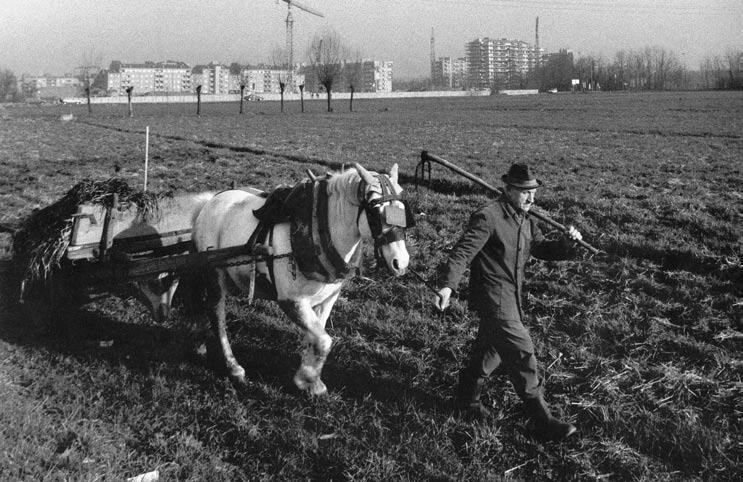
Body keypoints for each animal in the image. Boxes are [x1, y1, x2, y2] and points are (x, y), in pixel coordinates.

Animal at [192, 163, 412, 396]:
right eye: (374, 212)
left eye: (403, 209)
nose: (401, 262)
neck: (319, 230)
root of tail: (210, 202)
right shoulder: (292, 301)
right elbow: (323, 341)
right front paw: (309, 381)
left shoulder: (327, 299)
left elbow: (314, 339)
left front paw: (308, 378)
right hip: (215, 275)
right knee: (217, 315)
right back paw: (233, 366)